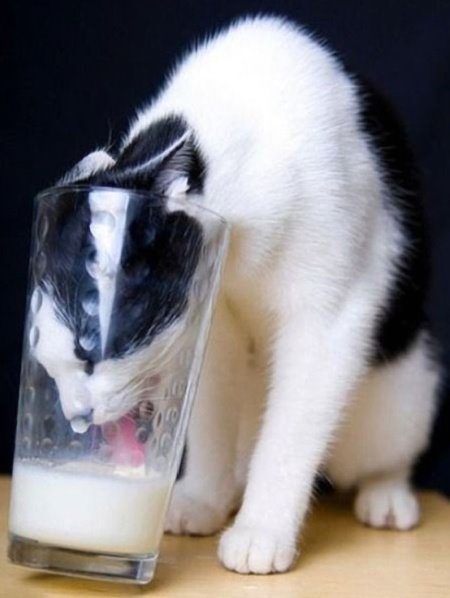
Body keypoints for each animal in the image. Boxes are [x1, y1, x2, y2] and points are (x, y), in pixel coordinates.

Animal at [38, 15, 440, 576]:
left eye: (90, 349)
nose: (76, 416)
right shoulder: (212, 319)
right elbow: (208, 413)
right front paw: (203, 499)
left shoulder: (327, 317)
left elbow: (292, 430)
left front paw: (262, 531)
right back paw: (228, 489)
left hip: (403, 392)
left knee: (388, 450)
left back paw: (386, 495)